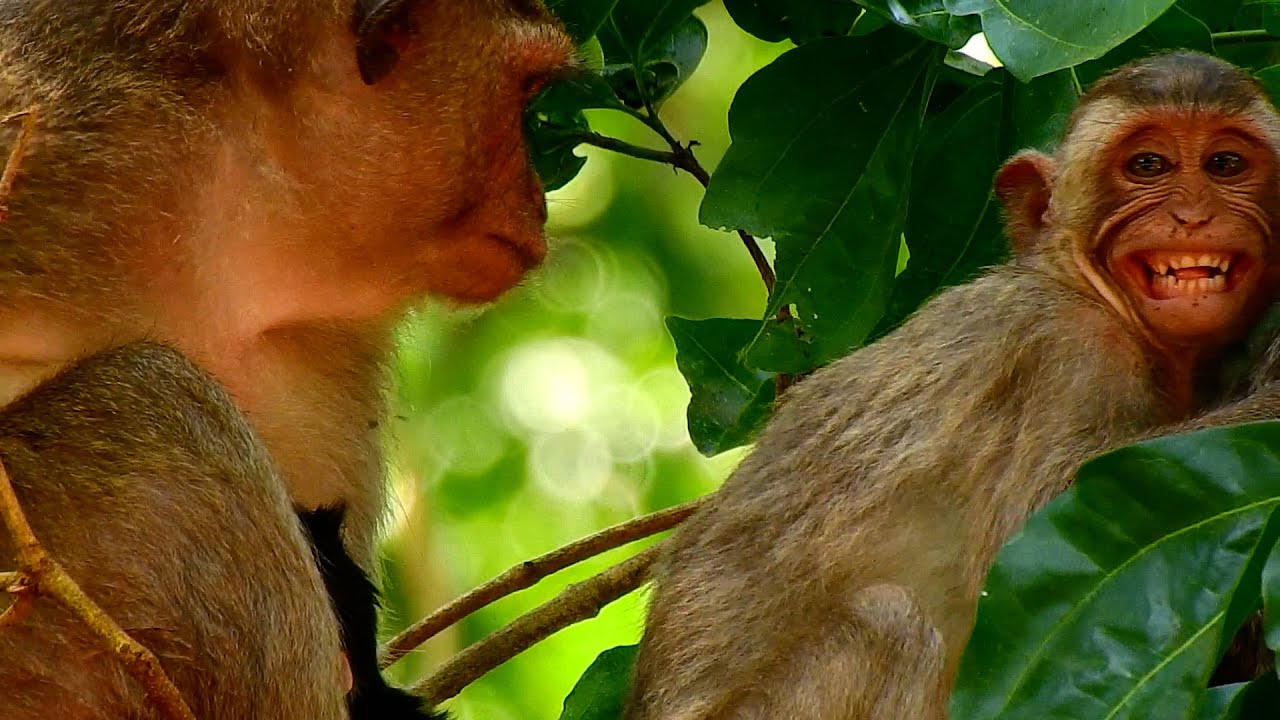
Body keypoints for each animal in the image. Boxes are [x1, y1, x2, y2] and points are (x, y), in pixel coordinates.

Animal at [624, 52, 1280, 720]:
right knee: (890, 627)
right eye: (1148, 165)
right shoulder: (1073, 355)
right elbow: (1041, 542)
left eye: (1225, 164)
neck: (1087, 288)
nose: (1193, 214)